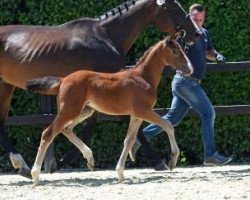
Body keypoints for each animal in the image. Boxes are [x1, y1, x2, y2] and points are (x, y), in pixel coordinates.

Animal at [0, 0, 200, 178]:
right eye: (173, 7)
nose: (196, 33)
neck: (107, 35)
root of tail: (63, 80)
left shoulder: (117, 106)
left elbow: (121, 135)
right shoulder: (132, 107)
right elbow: (152, 128)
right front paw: (161, 161)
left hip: (9, 86)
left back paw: (25, 168)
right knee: (46, 132)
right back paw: (29, 170)